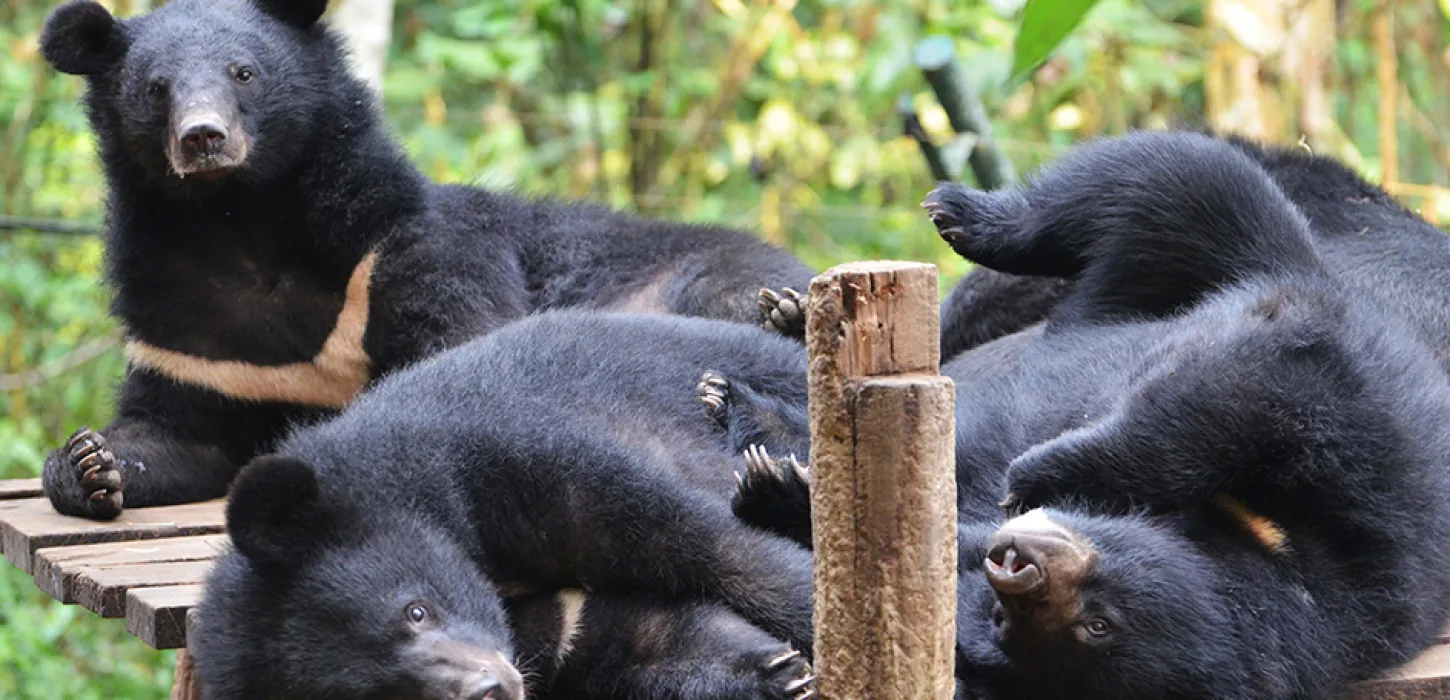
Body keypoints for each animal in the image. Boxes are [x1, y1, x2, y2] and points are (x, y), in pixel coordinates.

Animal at [36, 0, 816, 520]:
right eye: (155, 88)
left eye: (244, 73)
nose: (203, 138)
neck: (245, 219)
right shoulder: (188, 323)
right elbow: (176, 432)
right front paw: (88, 463)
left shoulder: (405, 247)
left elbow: (461, 347)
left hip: (696, 275)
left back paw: (787, 317)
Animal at [190, 310, 821, 700]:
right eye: (376, 693)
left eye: (416, 611)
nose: (489, 688)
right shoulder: (550, 629)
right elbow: (637, 639)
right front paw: (776, 673)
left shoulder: (519, 460)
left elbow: (713, 548)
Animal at [719, 131, 1450, 699]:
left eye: (1095, 626)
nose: (1017, 564)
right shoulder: (1364, 458)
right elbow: (1246, 391)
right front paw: (1040, 471)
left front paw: (780, 490)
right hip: (1242, 244)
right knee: (1177, 182)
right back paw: (951, 221)